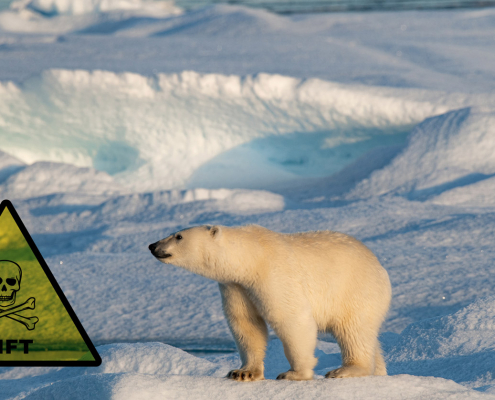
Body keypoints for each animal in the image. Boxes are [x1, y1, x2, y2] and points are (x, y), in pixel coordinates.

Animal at [147, 225, 392, 382]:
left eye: (178, 236)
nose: (152, 245)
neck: (251, 256)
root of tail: (379, 267)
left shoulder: (274, 275)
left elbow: (292, 319)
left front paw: (294, 373)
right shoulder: (236, 286)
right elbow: (246, 323)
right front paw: (243, 372)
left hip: (355, 291)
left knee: (353, 330)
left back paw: (345, 370)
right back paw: (379, 371)